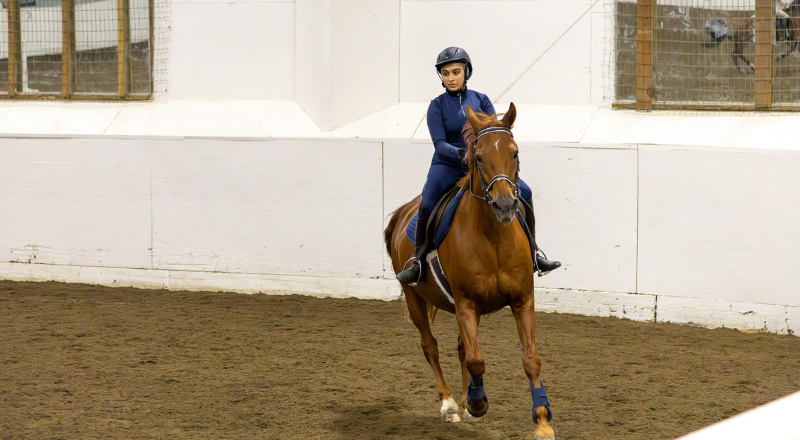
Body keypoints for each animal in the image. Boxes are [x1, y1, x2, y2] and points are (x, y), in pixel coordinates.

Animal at [384, 104, 552, 440]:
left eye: (515, 152)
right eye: (479, 157)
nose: (505, 205)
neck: (495, 237)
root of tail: (402, 212)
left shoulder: (522, 300)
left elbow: (531, 359)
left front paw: (542, 421)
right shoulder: (466, 304)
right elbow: (476, 360)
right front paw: (476, 404)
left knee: (461, 347)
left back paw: (463, 400)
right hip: (414, 296)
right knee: (431, 347)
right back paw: (451, 404)